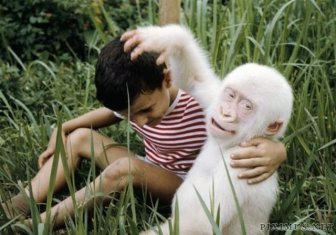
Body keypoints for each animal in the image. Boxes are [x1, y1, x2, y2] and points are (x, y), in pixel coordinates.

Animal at [122, 24, 292, 234]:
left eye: (246, 107)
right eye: (230, 95)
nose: (226, 112)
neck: (231, 145)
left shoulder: (241, 166)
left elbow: (198, 222)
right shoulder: (213, 98)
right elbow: (196, 79)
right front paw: (164, 39)